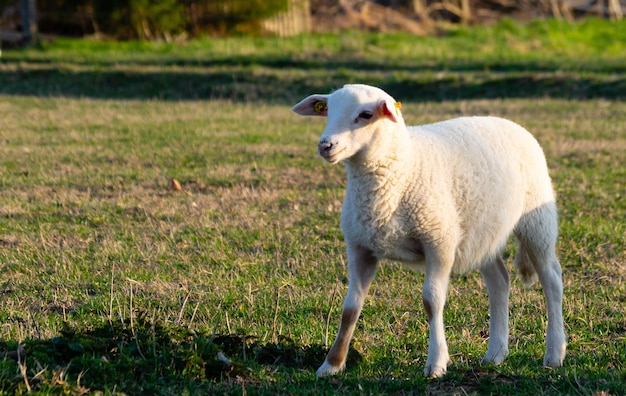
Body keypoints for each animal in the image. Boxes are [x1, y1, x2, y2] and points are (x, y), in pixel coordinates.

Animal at [292, 83, 564, 378]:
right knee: (500, 281)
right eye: (328, 111)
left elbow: (431, 301)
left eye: (365, 115)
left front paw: (436, 362)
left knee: (552, 279)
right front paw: (331, 364)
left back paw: (554, 354)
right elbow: (350, 308)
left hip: (536, 221)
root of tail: (510, 123)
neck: (402, 170)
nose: (326, 145)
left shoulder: (439, 242)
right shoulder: (360, 246)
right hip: (482, 231)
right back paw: (495, 354)